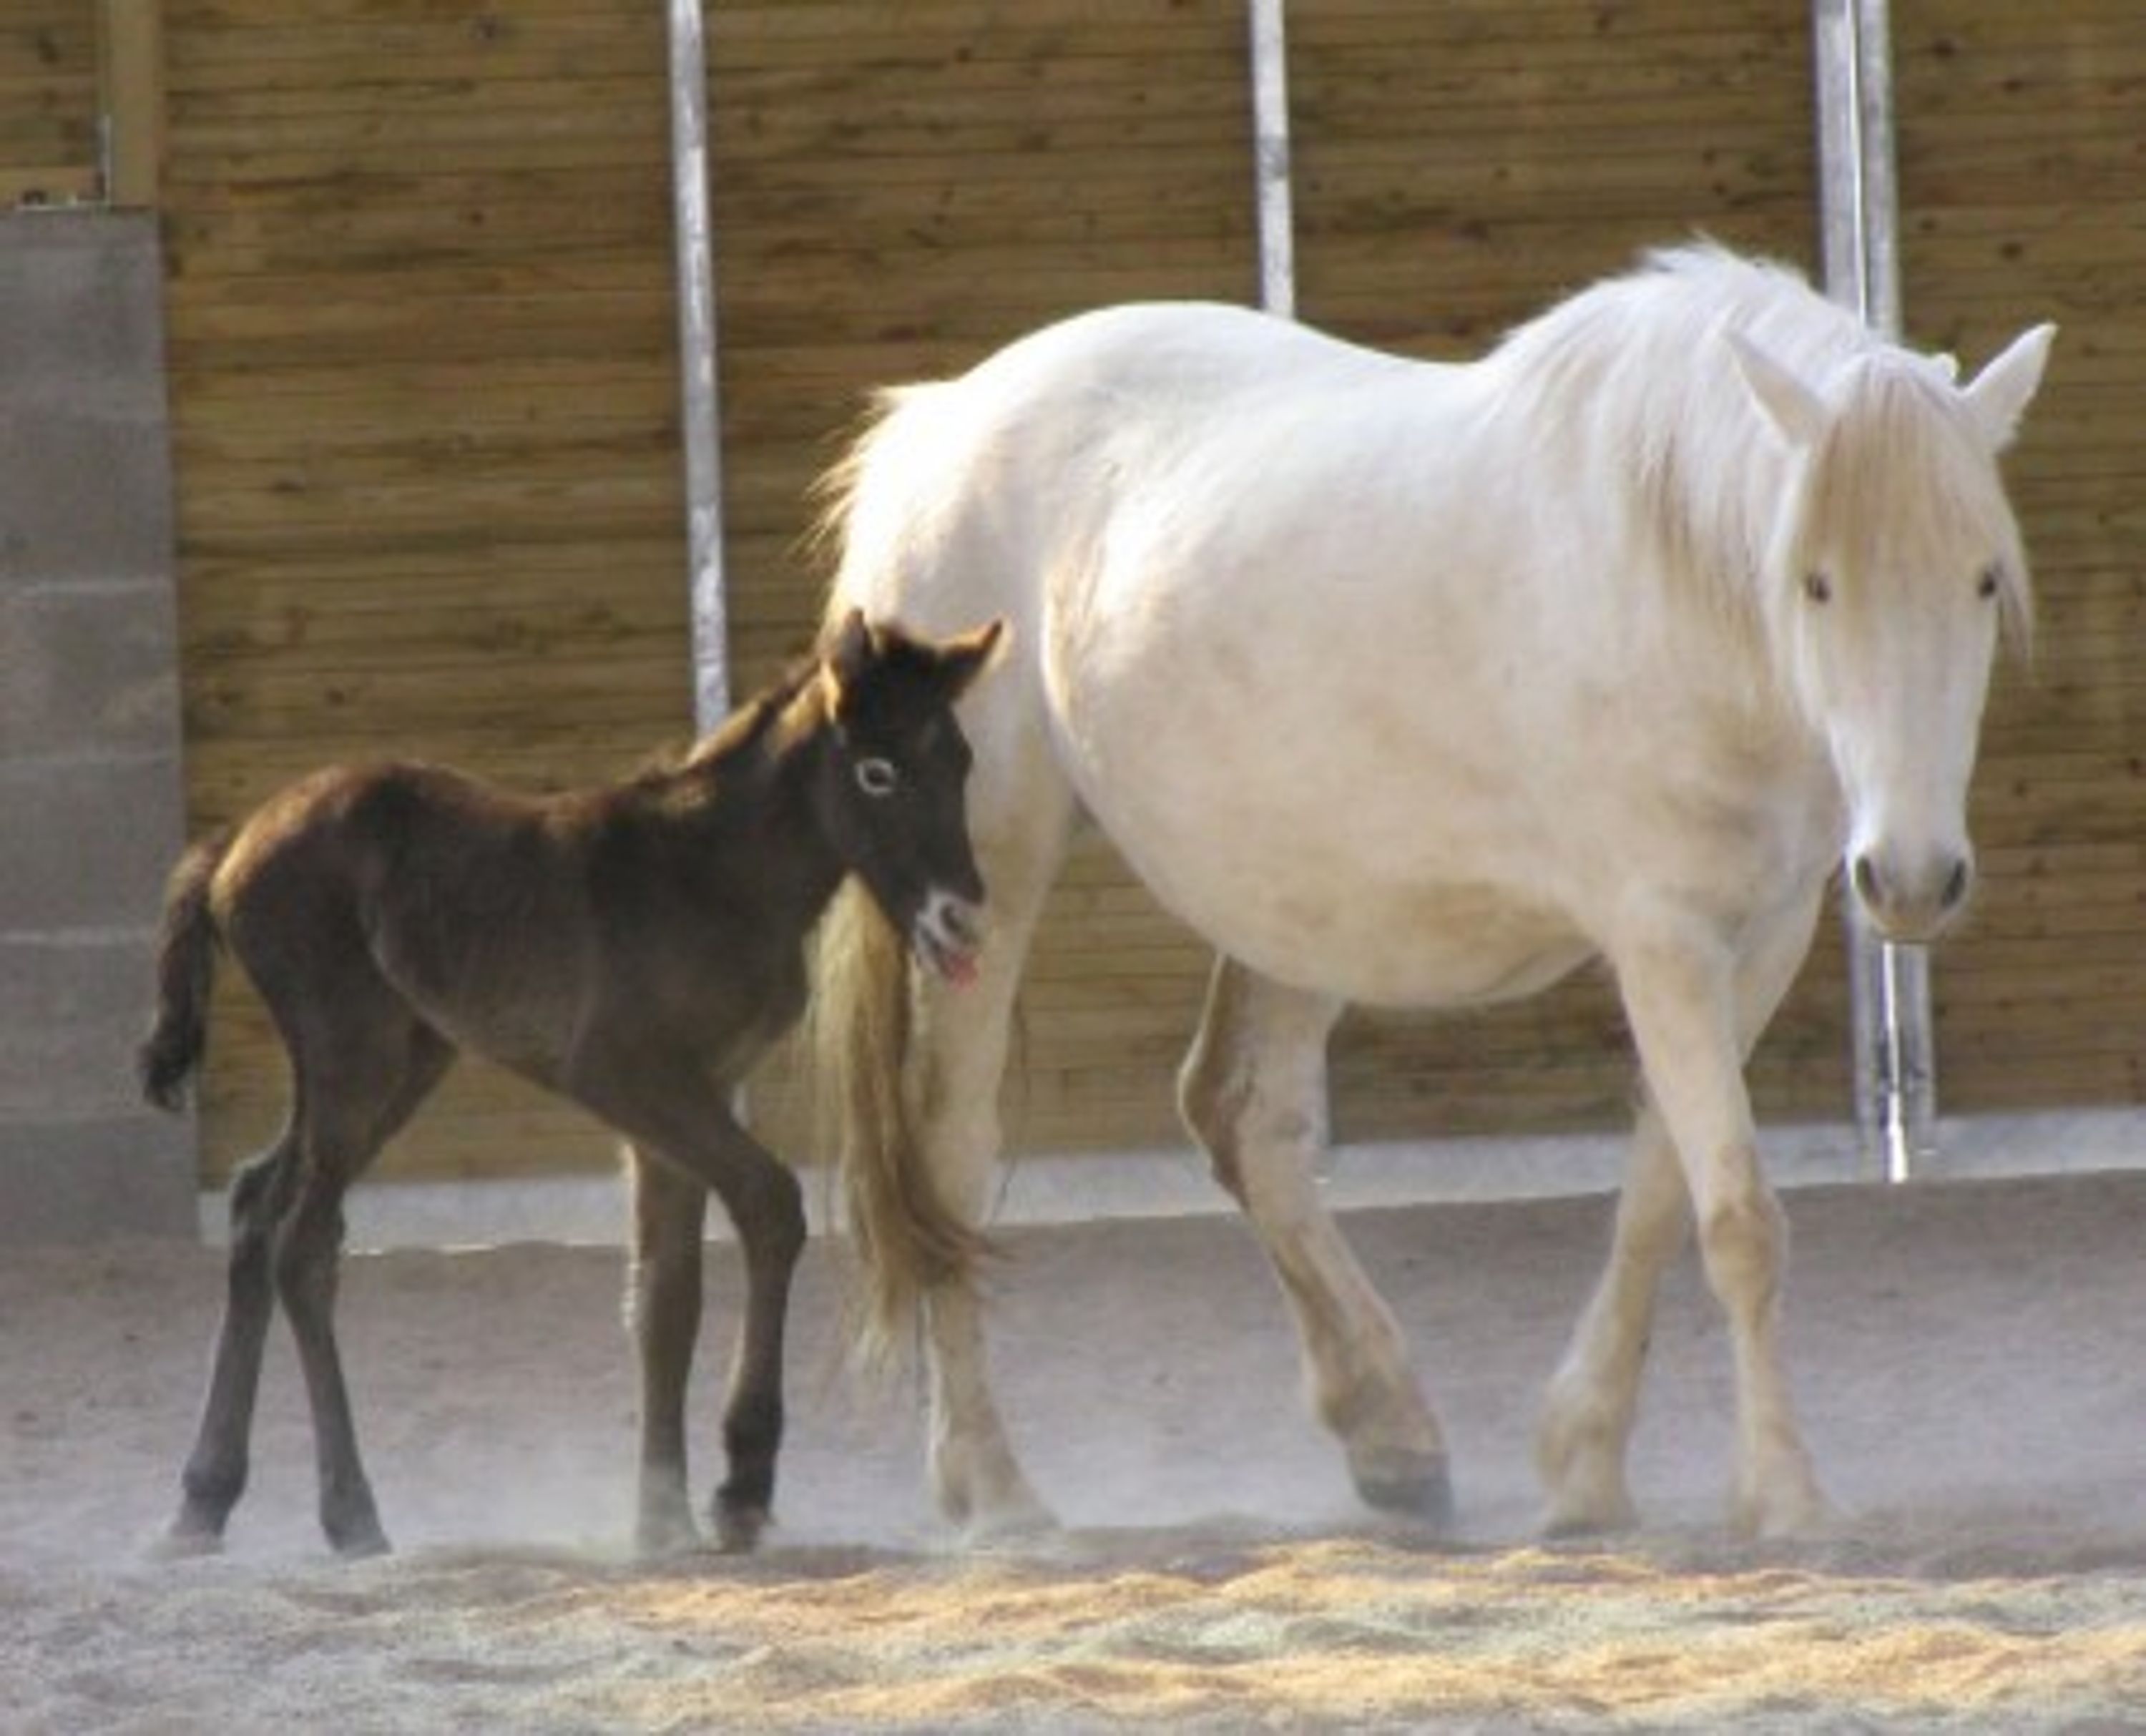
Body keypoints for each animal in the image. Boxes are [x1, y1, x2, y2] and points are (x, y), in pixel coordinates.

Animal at [139, 609, 1006, 1558]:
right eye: (877, 772)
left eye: (961, 760)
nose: (961, 920)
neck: (712, 874)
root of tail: (233, 845)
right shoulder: (623, 1074)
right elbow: (770, 1205)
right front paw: (739, 1486)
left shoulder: (688, 1096)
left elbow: (667, 1296)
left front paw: (660, 1518)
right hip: (351, 1053)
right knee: (303, 1243)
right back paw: (350, 1513)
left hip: (403, 1060)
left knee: (258, 1206)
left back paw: (201, 1503)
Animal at [805, 243, 2054, 1541]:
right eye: (1815, 583)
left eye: (1981, 580)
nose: (1912, 876)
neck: (1665, 574)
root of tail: (937, 426)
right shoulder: (1663, 940)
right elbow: (1738, 1220)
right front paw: (1787, 1493)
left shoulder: (1755, 941)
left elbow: (1660, 1195)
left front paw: (1585, 1465)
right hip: (987, 889)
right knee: (949, 1158)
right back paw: (994, 1486)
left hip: (1297, 903)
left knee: (1246, 1119)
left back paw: (1389, 1436)